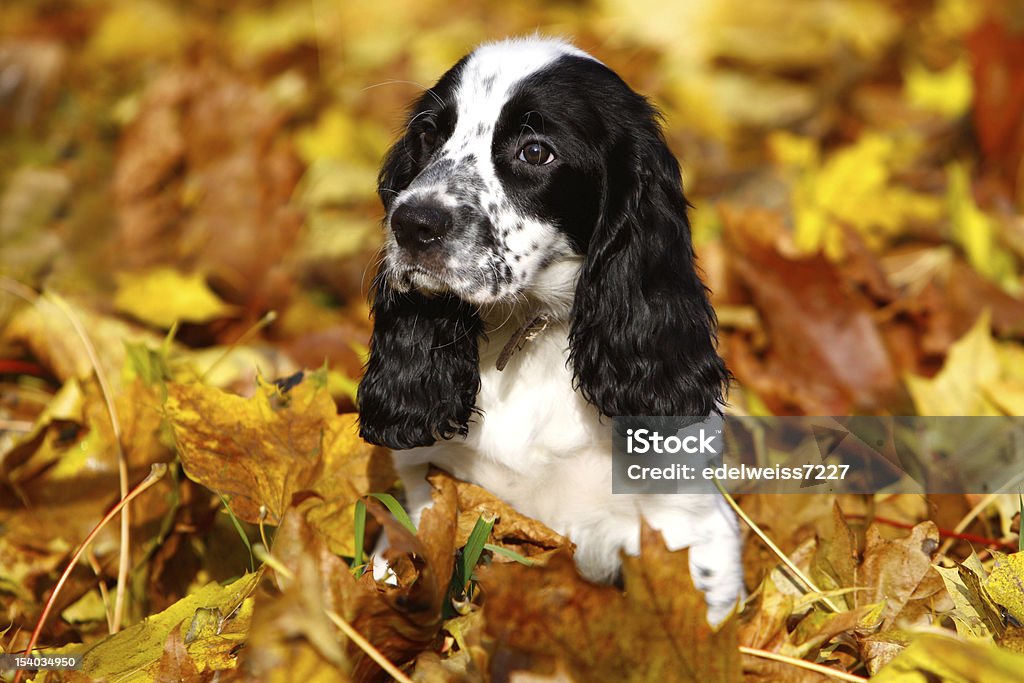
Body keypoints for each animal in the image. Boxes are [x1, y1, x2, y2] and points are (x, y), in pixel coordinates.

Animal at [360, 37, 745, 626]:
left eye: (536, 152)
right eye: (428, 135)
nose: (412, 224)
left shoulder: (685, 524)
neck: (528, 334)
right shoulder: (431, 495)